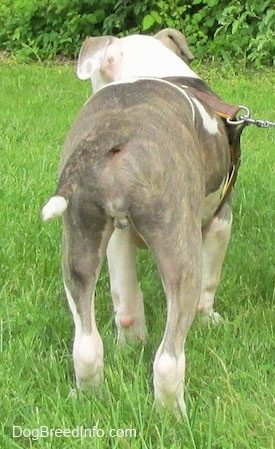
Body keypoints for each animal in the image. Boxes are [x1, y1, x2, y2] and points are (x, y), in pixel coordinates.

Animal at [41, 28, 244, 412]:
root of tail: (117, 129)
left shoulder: (116, 237)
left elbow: (126, 294)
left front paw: (132, 342)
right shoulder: (220, 220)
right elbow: (211, 281)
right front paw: (209, 319)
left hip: (80, 234)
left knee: (87, 342)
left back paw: (88, 395)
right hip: (180, 245)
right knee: (168, 356)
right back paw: (173, 413)